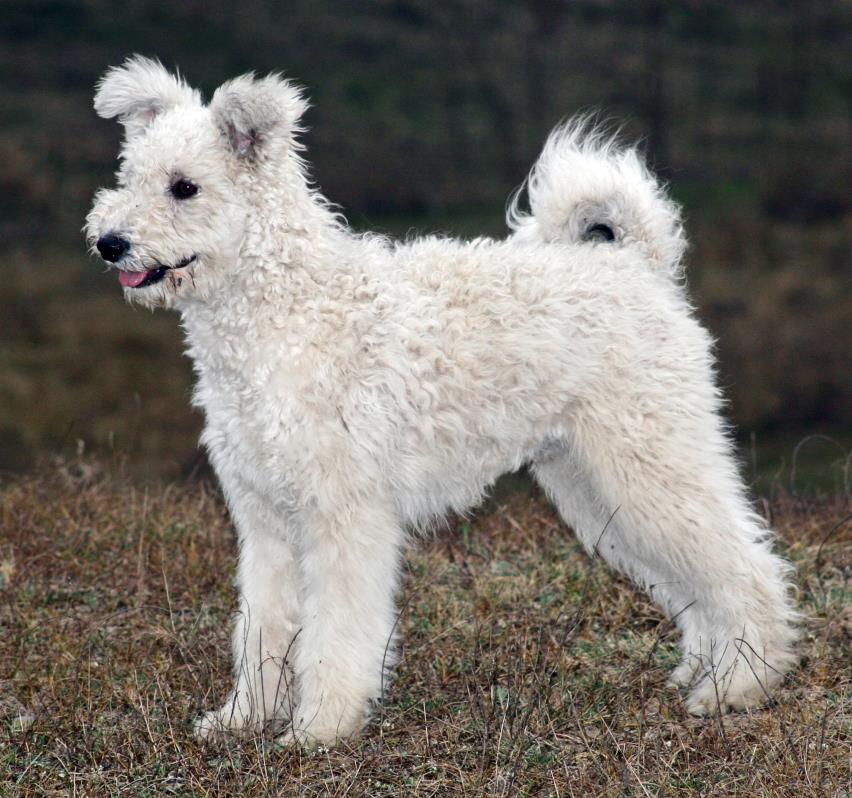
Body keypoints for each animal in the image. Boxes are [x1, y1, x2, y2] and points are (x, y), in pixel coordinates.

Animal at [86, 57, 800, 752]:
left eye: (185, 187)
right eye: (129, 174)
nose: (109, 242)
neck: (287, 308)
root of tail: (636, 265)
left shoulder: (344, 517)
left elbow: (335, 632)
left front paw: (320, 727)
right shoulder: (266, 520)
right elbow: (263, 626)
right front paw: (244, 719)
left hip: (650, 463)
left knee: (747, 571)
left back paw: (738, 687)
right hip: (598, 487)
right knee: (698, 584)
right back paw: (704, 670)